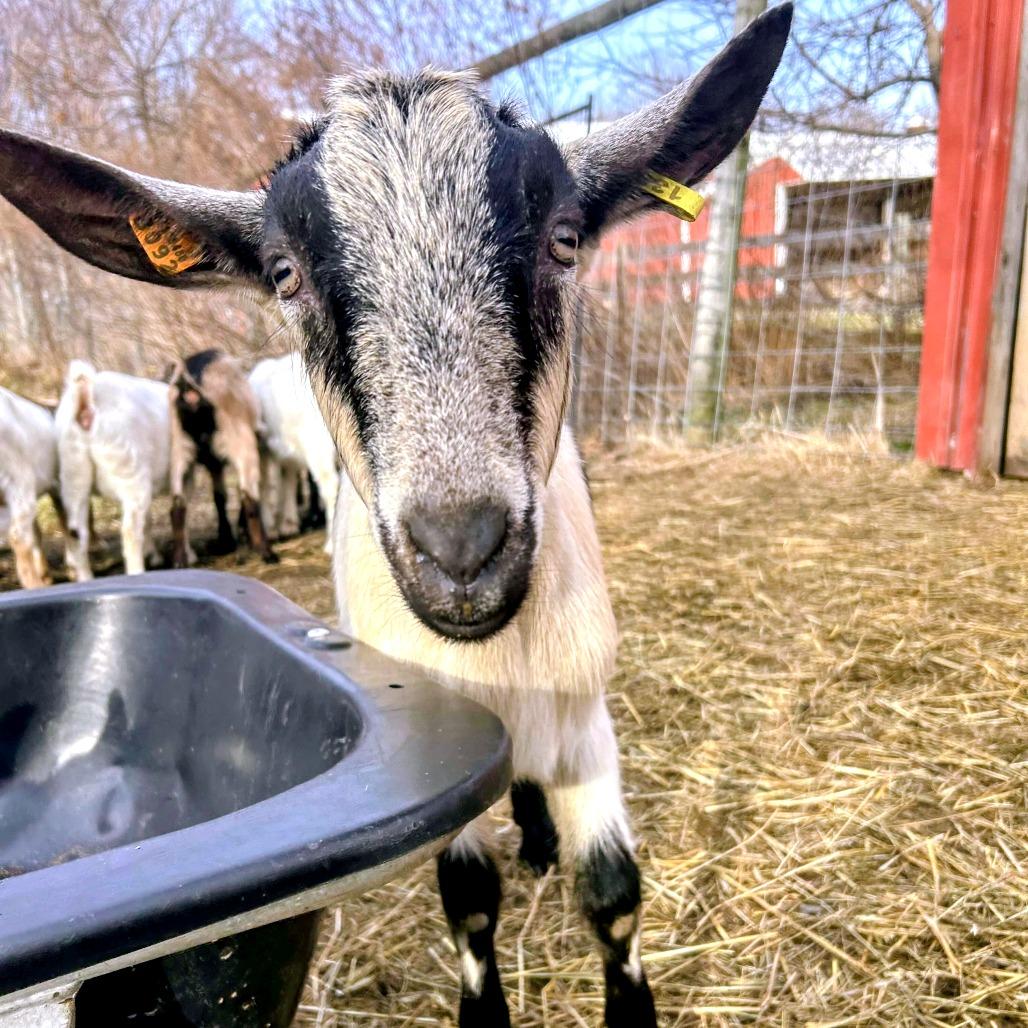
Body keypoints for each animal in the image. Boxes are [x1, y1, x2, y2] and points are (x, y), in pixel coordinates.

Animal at [55, 360, 170, 580]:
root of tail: (85, 400)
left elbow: (149, 519)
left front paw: (154, 555)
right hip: (129, 468)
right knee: (130, 530)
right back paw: (137, 572)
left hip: (73, 473)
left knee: (76, 532)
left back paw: (86, 578)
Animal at [166, 349, 277, 567]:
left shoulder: (213, 462)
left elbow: (219, 496)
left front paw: (225, 540)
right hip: (241, 442)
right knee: (250, 497)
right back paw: (265, 551)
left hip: (180, 451)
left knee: (177, 505)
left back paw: (180, 560)